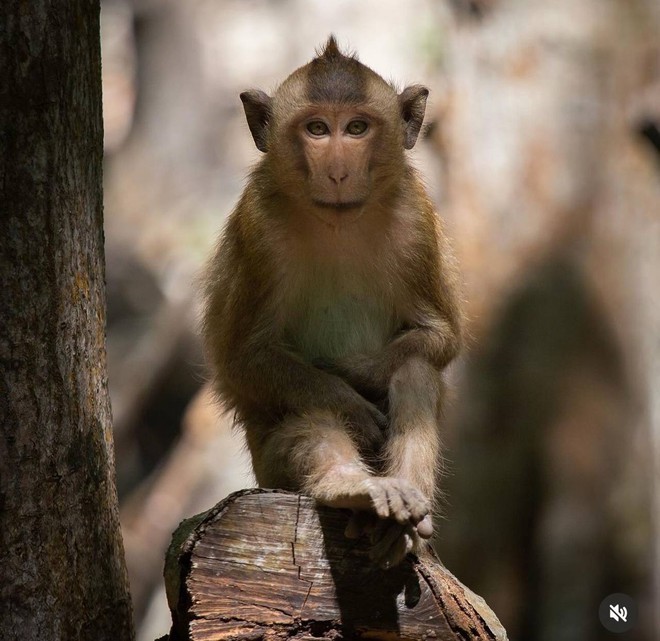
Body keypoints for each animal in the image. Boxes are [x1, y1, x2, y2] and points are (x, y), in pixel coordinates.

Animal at [202, 35, 464, 568]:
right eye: (318, 129)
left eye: (357, 128)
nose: (339, 170)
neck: (338, 220)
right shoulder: (257, 230)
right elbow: (244, 358)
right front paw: (349, 401)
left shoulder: (417, 221)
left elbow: (440, 335)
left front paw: (356, 372)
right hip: (269, 469)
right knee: (305, 409)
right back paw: (350, 486)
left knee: (415, 370)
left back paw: (405, 511)